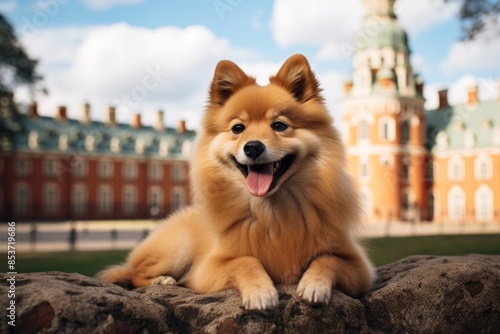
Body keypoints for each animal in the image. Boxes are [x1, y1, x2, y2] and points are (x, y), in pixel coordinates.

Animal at [95, 52, 374, 310]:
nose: (253, 147)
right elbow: (245, 261)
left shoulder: (359, 266)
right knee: (133, 274)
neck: (272, 212)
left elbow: (328, 259)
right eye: (238, 128)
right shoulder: (208, 268)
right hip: (178, 248)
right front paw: (260, 292)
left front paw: (314, 284)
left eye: (279, 125)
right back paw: (162, 280)